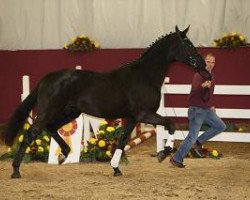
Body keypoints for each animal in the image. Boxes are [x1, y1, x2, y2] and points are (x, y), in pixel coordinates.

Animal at [1, 25, 205, 177]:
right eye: (187, 44)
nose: (202, 65)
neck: (145, 76)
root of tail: (47, 78)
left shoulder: (133, 118)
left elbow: (122, 141)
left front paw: (116, 168)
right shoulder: (144, 114)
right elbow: (171, 124)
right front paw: (164, 153)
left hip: (70, 112)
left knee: (51, 128)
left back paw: (65, 154)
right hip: (48, 111)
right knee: (31, 133)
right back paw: (16, 170)